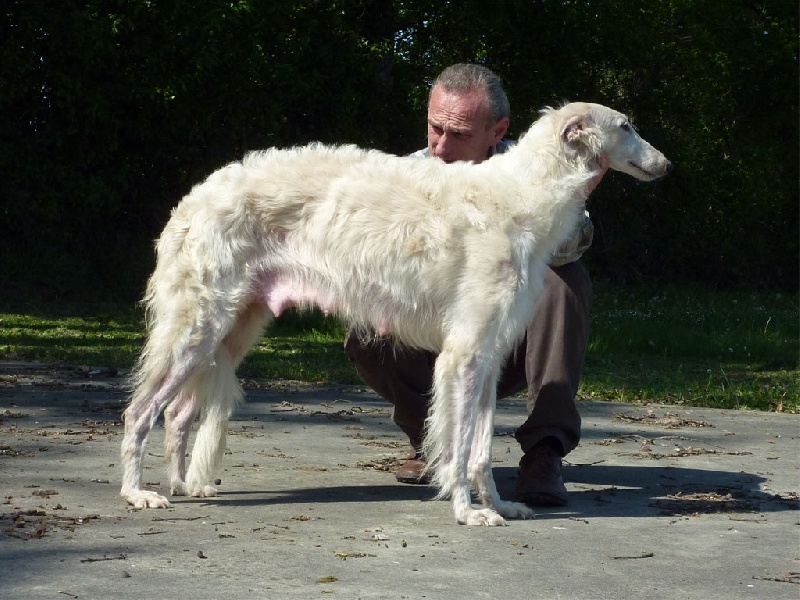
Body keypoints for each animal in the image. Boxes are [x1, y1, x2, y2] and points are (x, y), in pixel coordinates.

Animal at [120, 102, 668, 524]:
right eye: (626, 126)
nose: (666, 165)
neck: (520, 195)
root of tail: (191, 199)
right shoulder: (464, 355)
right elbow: (460, 444)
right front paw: (467, 511)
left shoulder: (488, 355)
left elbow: (481, 450)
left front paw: (499, 505)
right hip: (198, 326)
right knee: (140, 412)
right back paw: (137, 493)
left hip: (232, 329)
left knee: (179, 412)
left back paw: (182, 485)